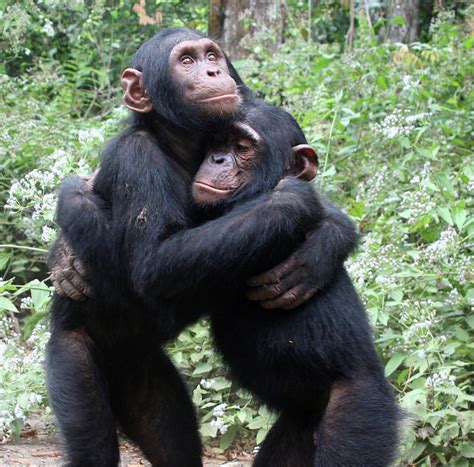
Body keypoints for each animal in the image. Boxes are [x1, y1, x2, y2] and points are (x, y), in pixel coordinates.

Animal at [47, 27, 400, 466]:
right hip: (75, 359)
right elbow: (154, 265)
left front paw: (325, 236)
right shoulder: (138, 162)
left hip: (359, 412)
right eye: (186, 61)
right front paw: (297, 203)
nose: (214, 71)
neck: (175, 147)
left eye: (211, 55)